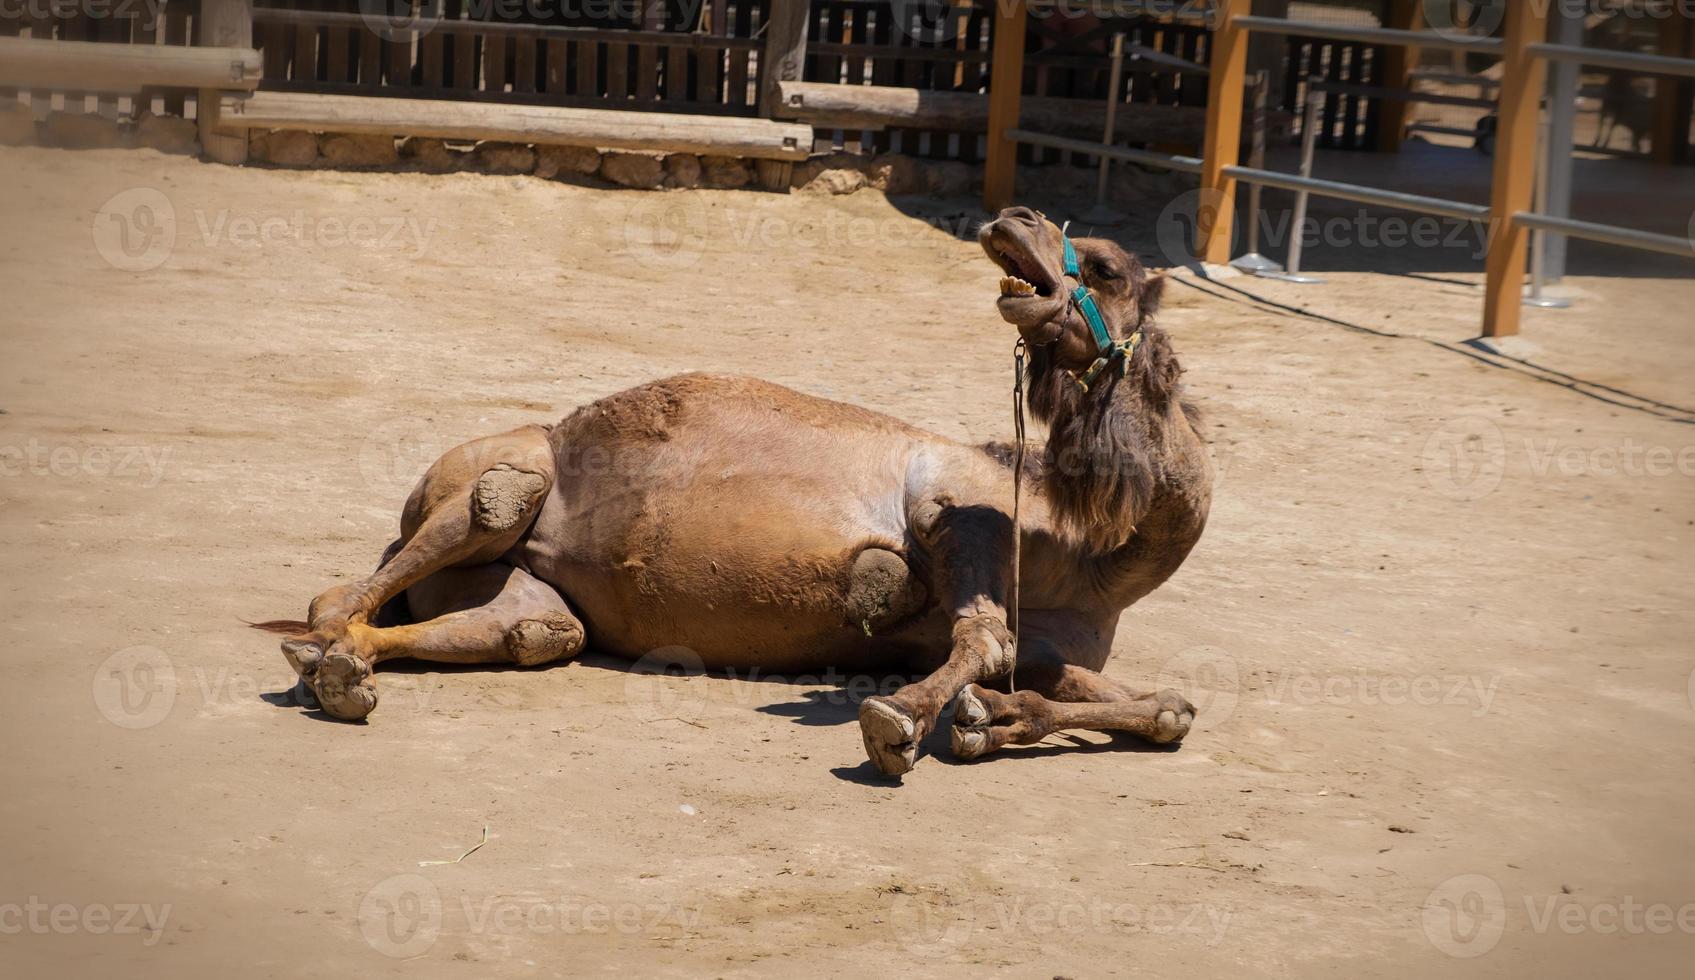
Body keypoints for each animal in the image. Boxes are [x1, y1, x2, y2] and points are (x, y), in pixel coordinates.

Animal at [250, 206, 1213, 769]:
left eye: (1108, 268)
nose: (1015, 216)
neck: (1090, 558)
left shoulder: (1057, 645)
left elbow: (1168, 706)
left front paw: (998, 720)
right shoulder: (956, 510)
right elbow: (981, 636)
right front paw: (899, 723)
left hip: (523, 595)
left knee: (528, 629)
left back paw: (346, 676)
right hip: (496, 474)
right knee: (419, 545)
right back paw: (321, 663)